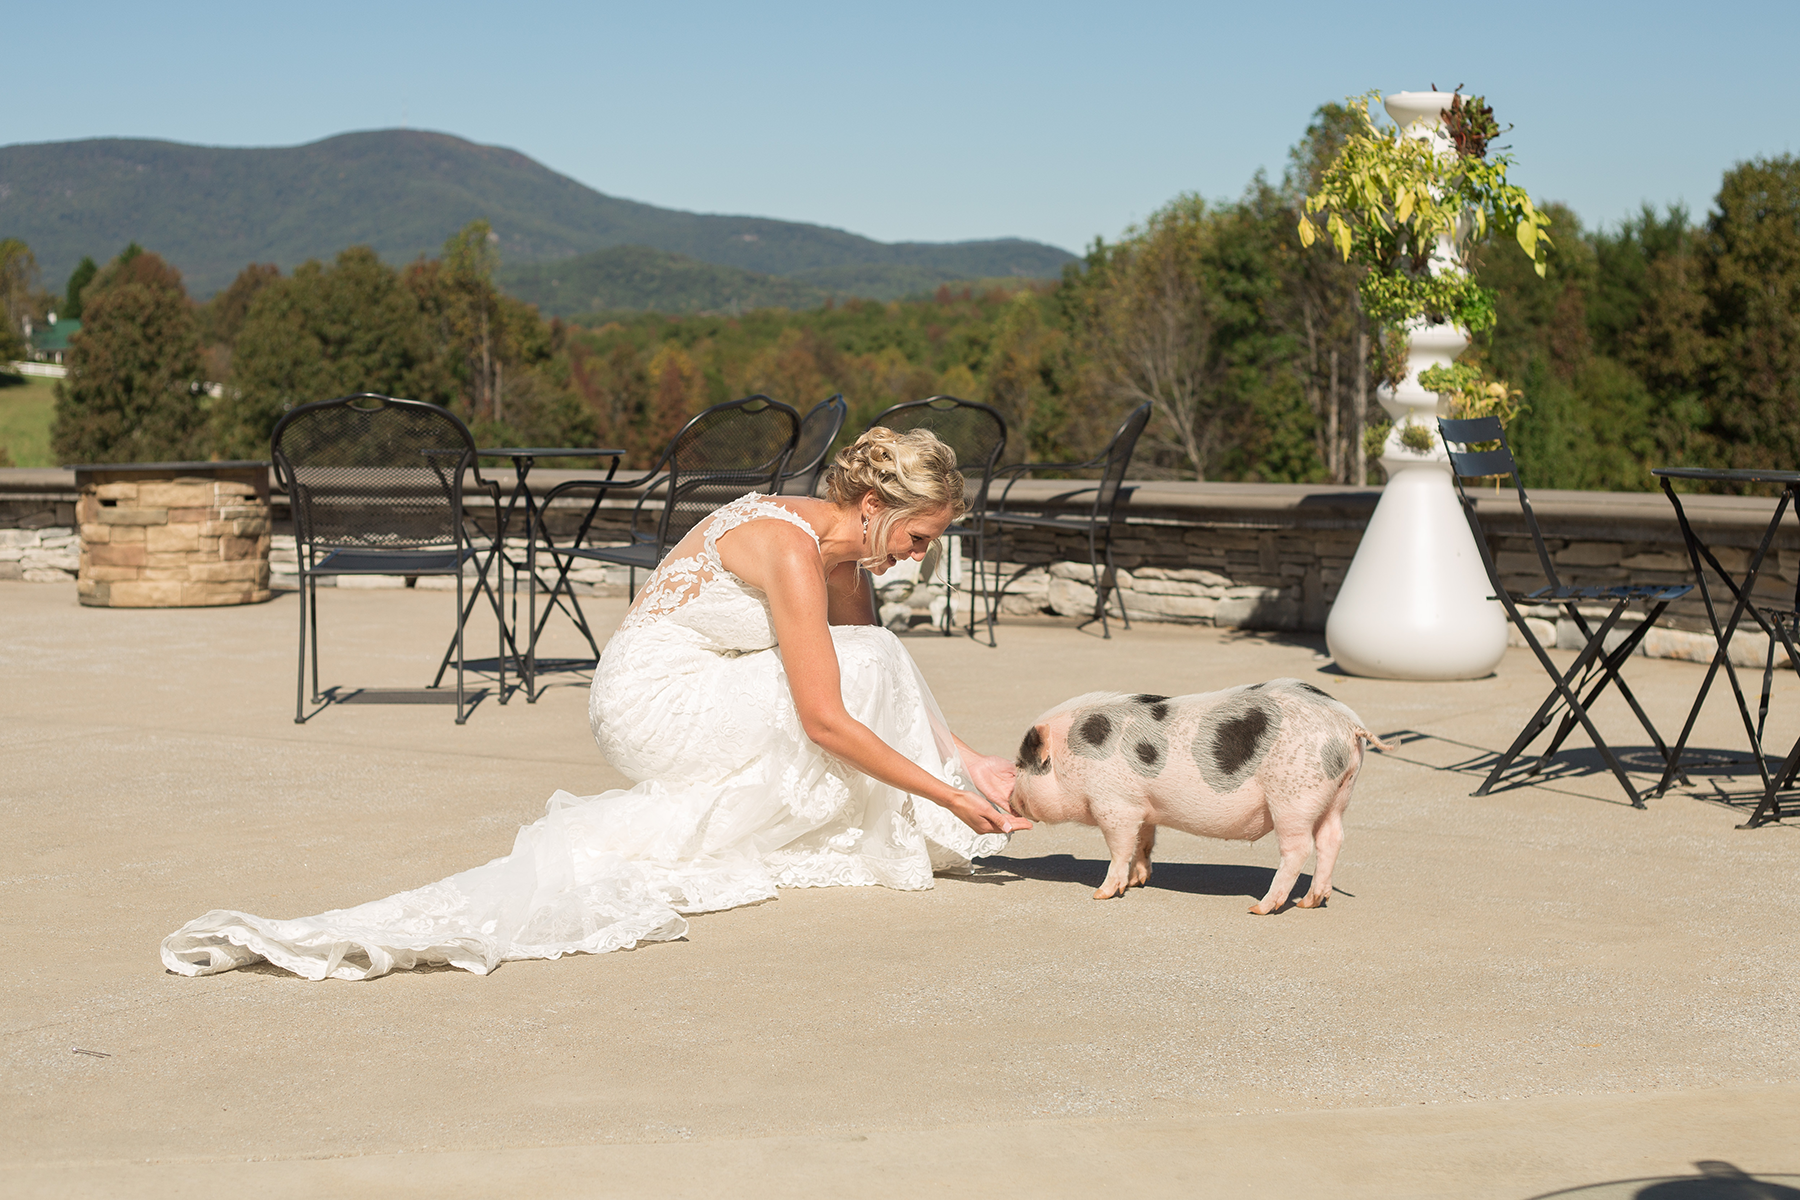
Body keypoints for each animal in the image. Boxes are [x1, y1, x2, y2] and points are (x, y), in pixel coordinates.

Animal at [1000, 680, 1389, 913]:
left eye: (1021, 764)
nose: (1009, 798)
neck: (1072, 756)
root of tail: (1347, 722)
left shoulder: (1114, 804)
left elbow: (1119, 847)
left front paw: (1102, 893)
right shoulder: (1144, 808)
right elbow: (1144, 842)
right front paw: (1140, 880)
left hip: (1293, 796)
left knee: (1299, 848)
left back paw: (1261, 908)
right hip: (1338, 793)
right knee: (1332, 839)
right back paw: (1312, 901)